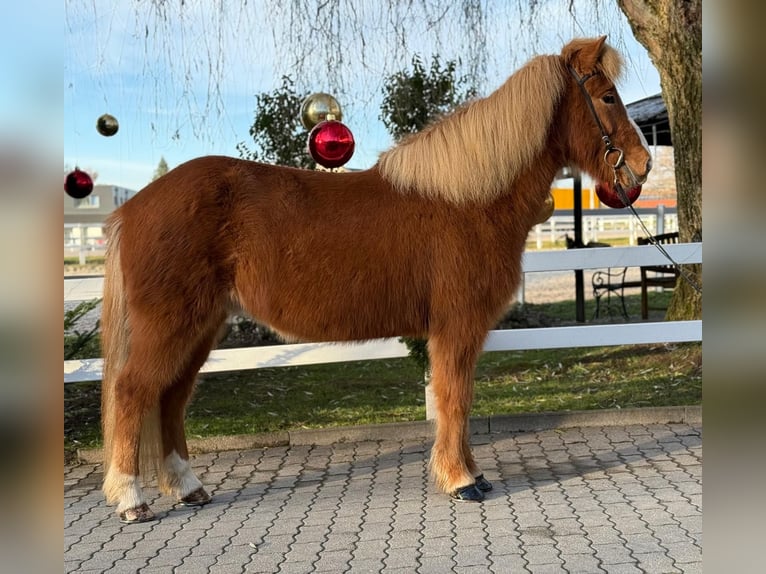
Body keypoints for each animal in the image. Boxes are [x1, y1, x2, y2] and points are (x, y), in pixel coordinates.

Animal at [102, 35, 652, 520]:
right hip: (170, 325)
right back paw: (132, 501)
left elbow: (460, 399)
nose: (643, 166)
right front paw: (461, 481)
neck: (469, 199)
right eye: (607, 96)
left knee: (171, 398)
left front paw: (473, 473)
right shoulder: (456, 327)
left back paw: (188, 488)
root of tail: (132, 208)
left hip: (201, 327)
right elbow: (455, 398)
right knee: (133, 393)